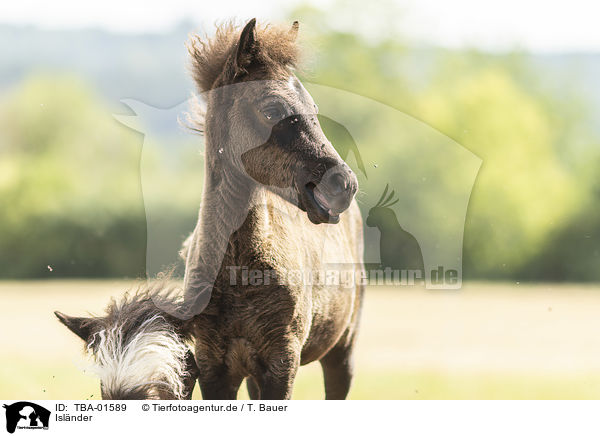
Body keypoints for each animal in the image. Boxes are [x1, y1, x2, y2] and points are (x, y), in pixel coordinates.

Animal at [179, 18, 366, 400]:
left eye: (314, 108)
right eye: (272, 110)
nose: (343, 184)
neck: (238, 272)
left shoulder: (282, 362)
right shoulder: (213, 366)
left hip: (343, 351)